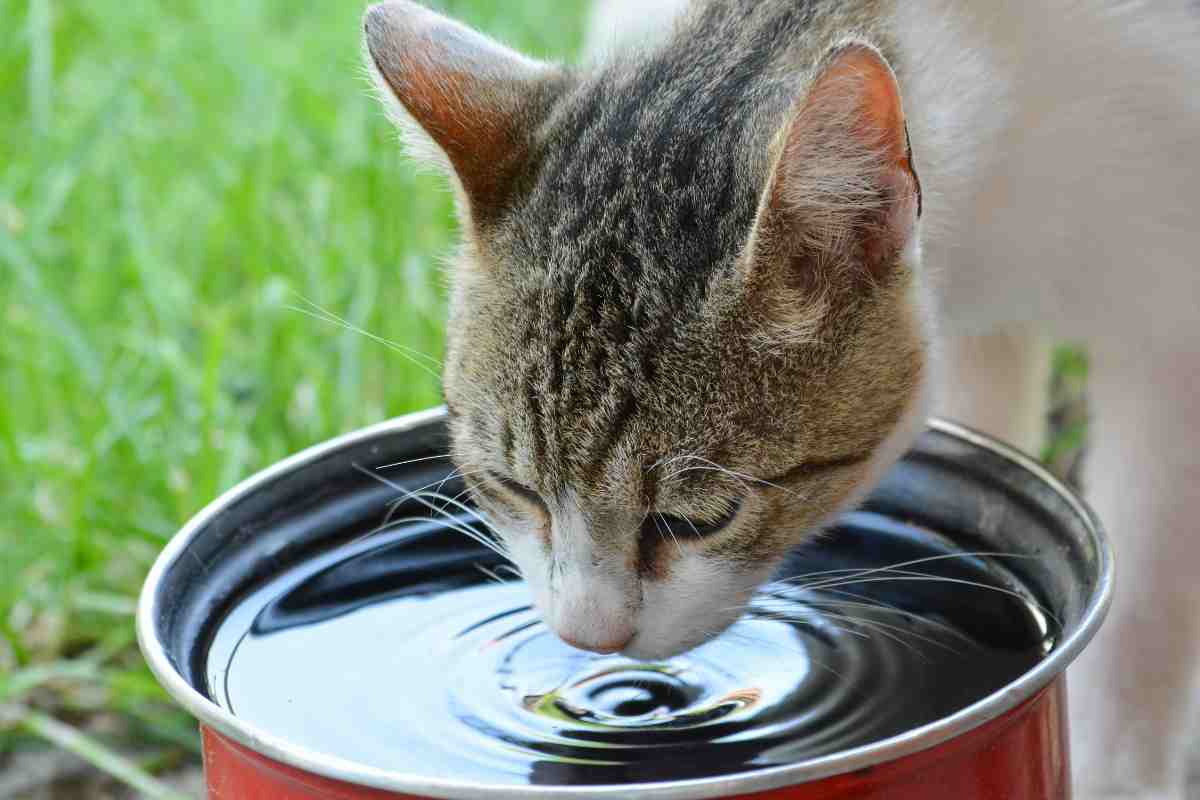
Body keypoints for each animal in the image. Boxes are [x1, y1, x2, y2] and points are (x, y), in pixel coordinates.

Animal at [360, 3, 1200, 796]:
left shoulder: (1169, 329)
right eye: (513, 488)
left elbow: (1146, 606)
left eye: (696, 520)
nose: (588, 641)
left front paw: (1116, 774)